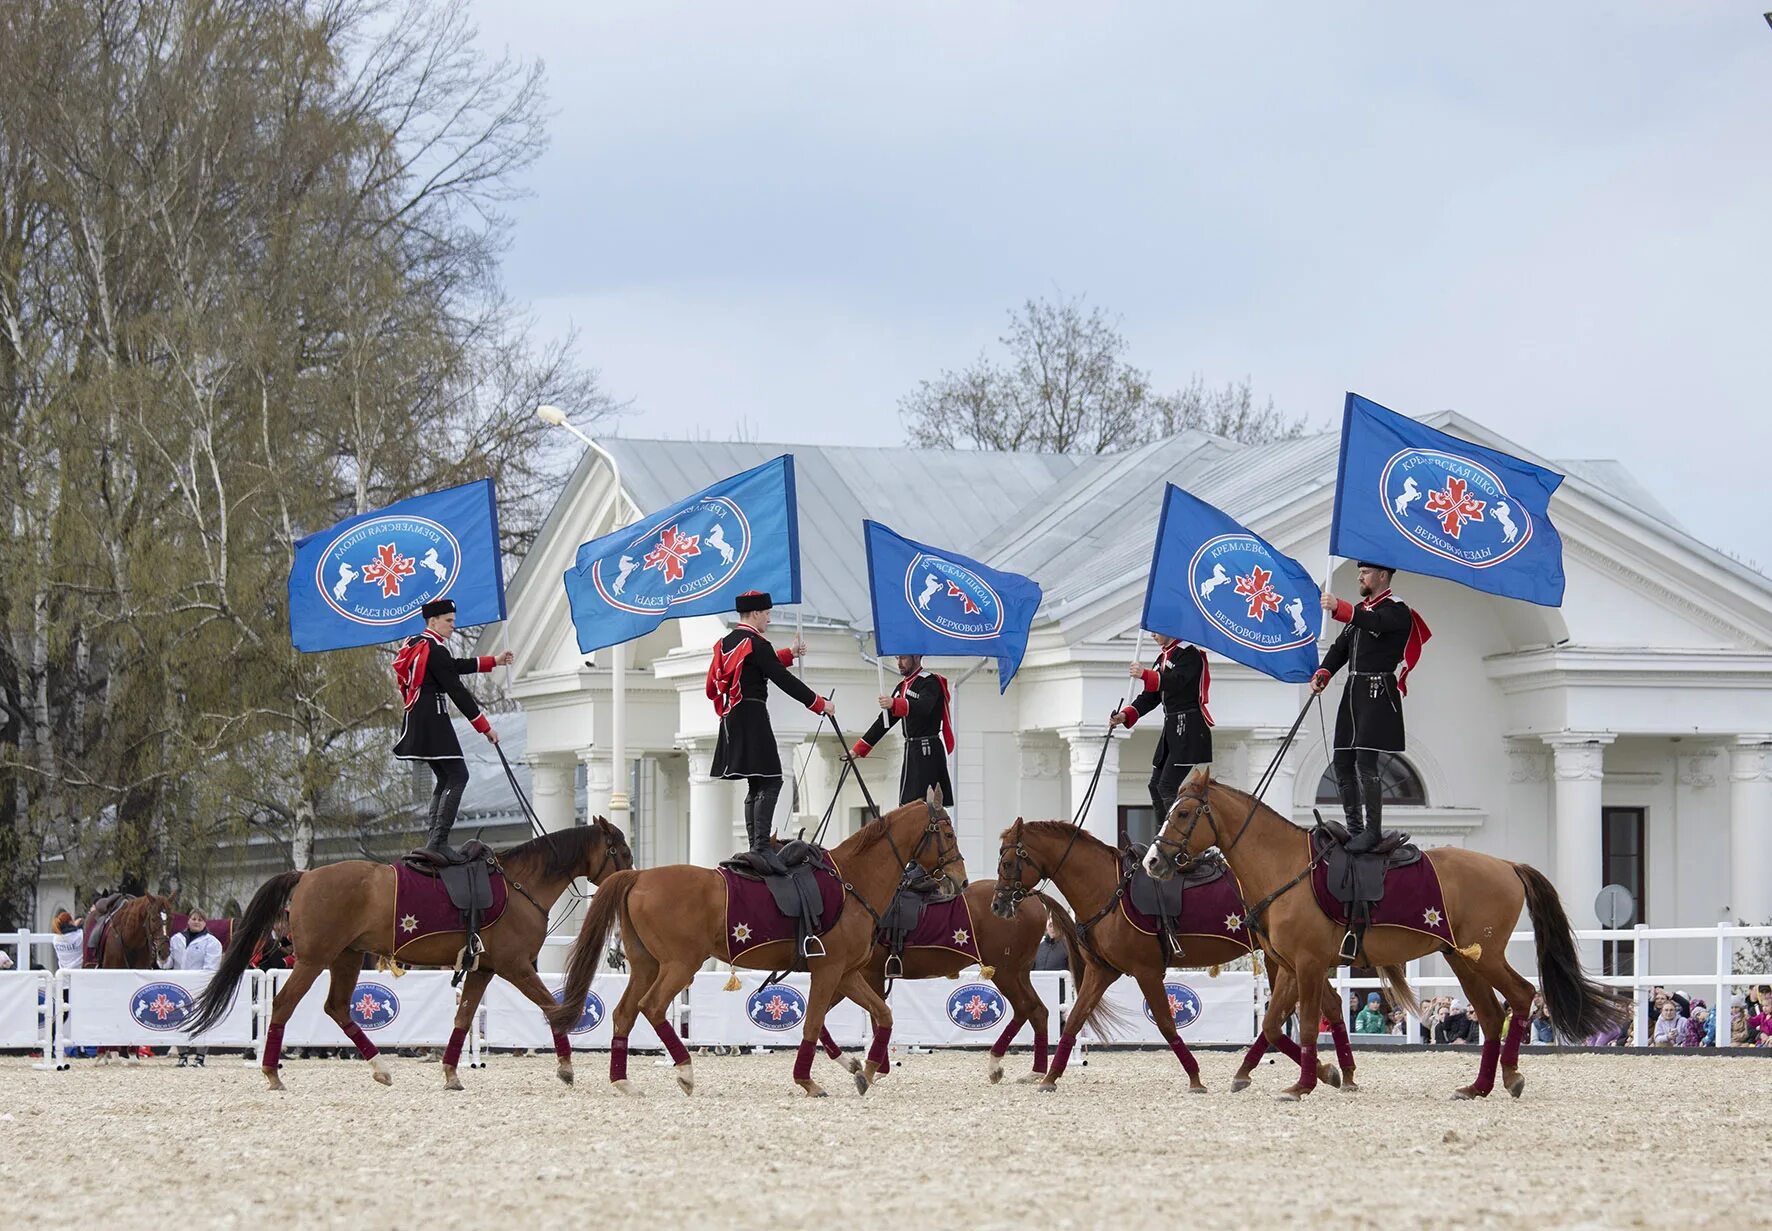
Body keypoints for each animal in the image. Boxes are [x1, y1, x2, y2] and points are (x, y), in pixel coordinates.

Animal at [190, 821, 634, 1091]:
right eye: (623, 853)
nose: (632, 875)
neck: (521, 884)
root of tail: (307, 874)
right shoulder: (516, 967)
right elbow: (551, 1007)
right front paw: (566, 1066)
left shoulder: (484, 969)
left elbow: (463, 1018)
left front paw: (452, 1072)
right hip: (315, 960)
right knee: (283, 1004)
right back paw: (271, 1072)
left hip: (346, 958)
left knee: (337, 1008)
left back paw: (380, 1067)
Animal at [549, 800, 971, 1098]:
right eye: (949, 834)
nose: (960, 880)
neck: (852, 881)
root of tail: (638, 877)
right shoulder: (829, 971)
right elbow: (813, 1022)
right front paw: (808, 1081)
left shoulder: (848, 974)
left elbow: (882, 1015)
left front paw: (864, 1070)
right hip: (680, 965)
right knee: (651, 1007)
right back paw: (684, 1070)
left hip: (647, 965)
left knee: (624, 1013)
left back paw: (623, 1081)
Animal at [811, 885, 1084, 1091]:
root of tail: (1029, 897)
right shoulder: (846, 975)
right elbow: (822, 1018)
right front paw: (851, 1063)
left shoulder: (866, 975)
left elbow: (876, 1018)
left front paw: (874, 1069)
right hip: (1018, 973)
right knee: (1036, 1010)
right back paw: (1034, 1071)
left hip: (1006, 973)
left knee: (1027, 1008)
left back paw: (998, 1065)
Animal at [992, 821, 1346, 1091]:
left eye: (1007, 863)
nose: (997, 905)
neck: (1106, 889)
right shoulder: (1101, 971)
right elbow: (1075, 1020)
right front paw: (1050, 1077)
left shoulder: (1146, 971)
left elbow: (1165, 1023)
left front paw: (1195, 1077)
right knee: (1323, 1005)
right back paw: (1331, 1071)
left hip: (1287, 959)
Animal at [1141, 775, 1623, 1105]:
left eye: (1182, 813)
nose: (1152, 862)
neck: (1286, 869)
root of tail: (1507, 864)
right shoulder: (1292, 967)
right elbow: (1276, 1023)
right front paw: (1299, 1074)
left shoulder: (1309, 965)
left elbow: (1305, 1023)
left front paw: (1304, 1083)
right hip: (1462, 960)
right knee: (1490, 1015)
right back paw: (1479, 1086)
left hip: (1483, 957)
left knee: (1520, 996)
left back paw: (1509, 1076)